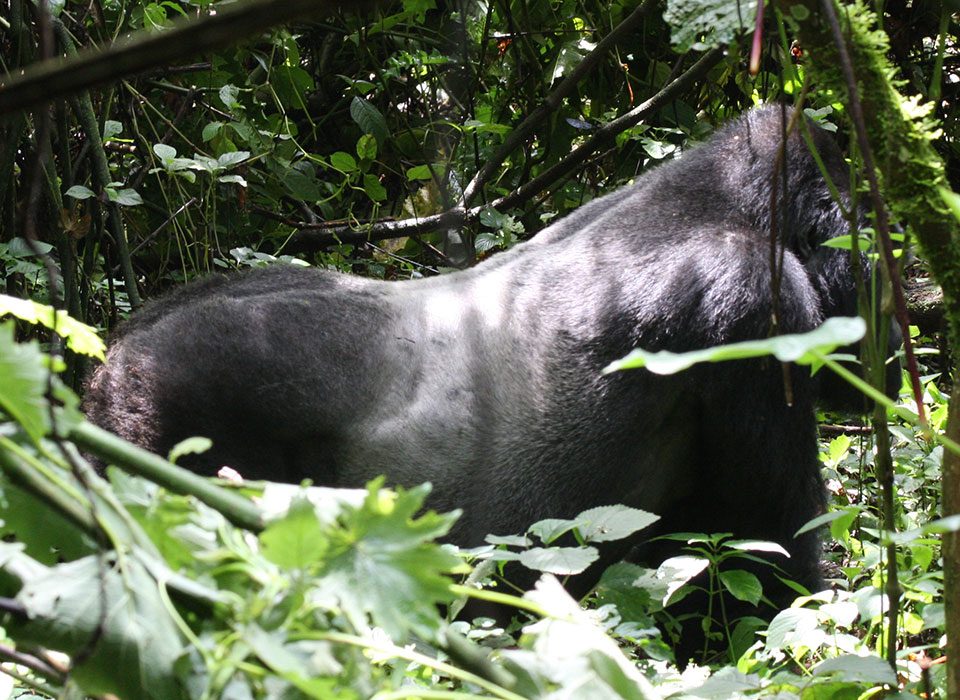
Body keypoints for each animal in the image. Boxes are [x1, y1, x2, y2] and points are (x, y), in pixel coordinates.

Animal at [84, 104, 900, 636]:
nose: (891, 339)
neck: (721, 203)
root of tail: (114, 362)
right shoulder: (758, 309)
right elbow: (768, 570)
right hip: (164, 412)